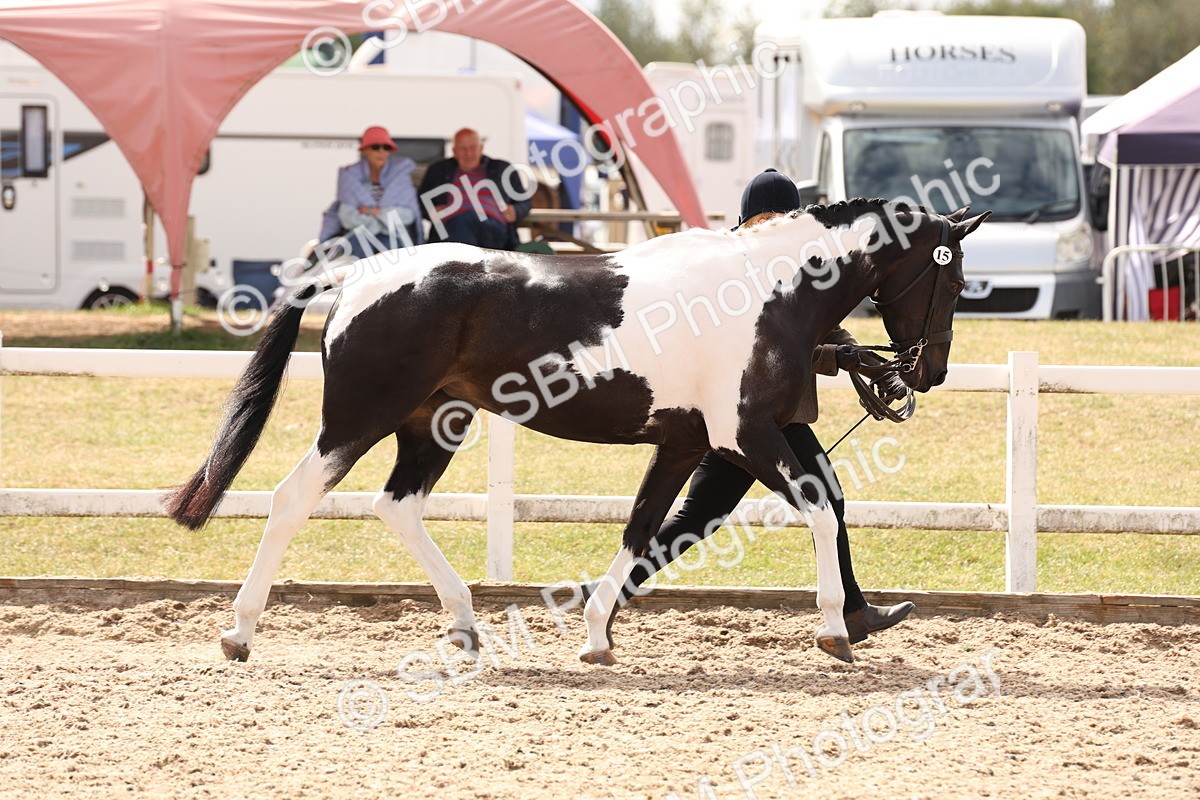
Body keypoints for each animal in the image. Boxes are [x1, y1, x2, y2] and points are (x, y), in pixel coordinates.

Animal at [165, 199, 988, 666]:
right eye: (952, 277)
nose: (929, 371)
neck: (765, 291)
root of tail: (358, 276)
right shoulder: (747, 437)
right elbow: (817, 513)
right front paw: (836, 632)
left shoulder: (685, 444)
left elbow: (643, 529)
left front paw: (597, 635)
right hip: (357, 420)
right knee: (291, 499)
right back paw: (239, 633)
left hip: (435, 424)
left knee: (395, 506)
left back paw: (464, 627)